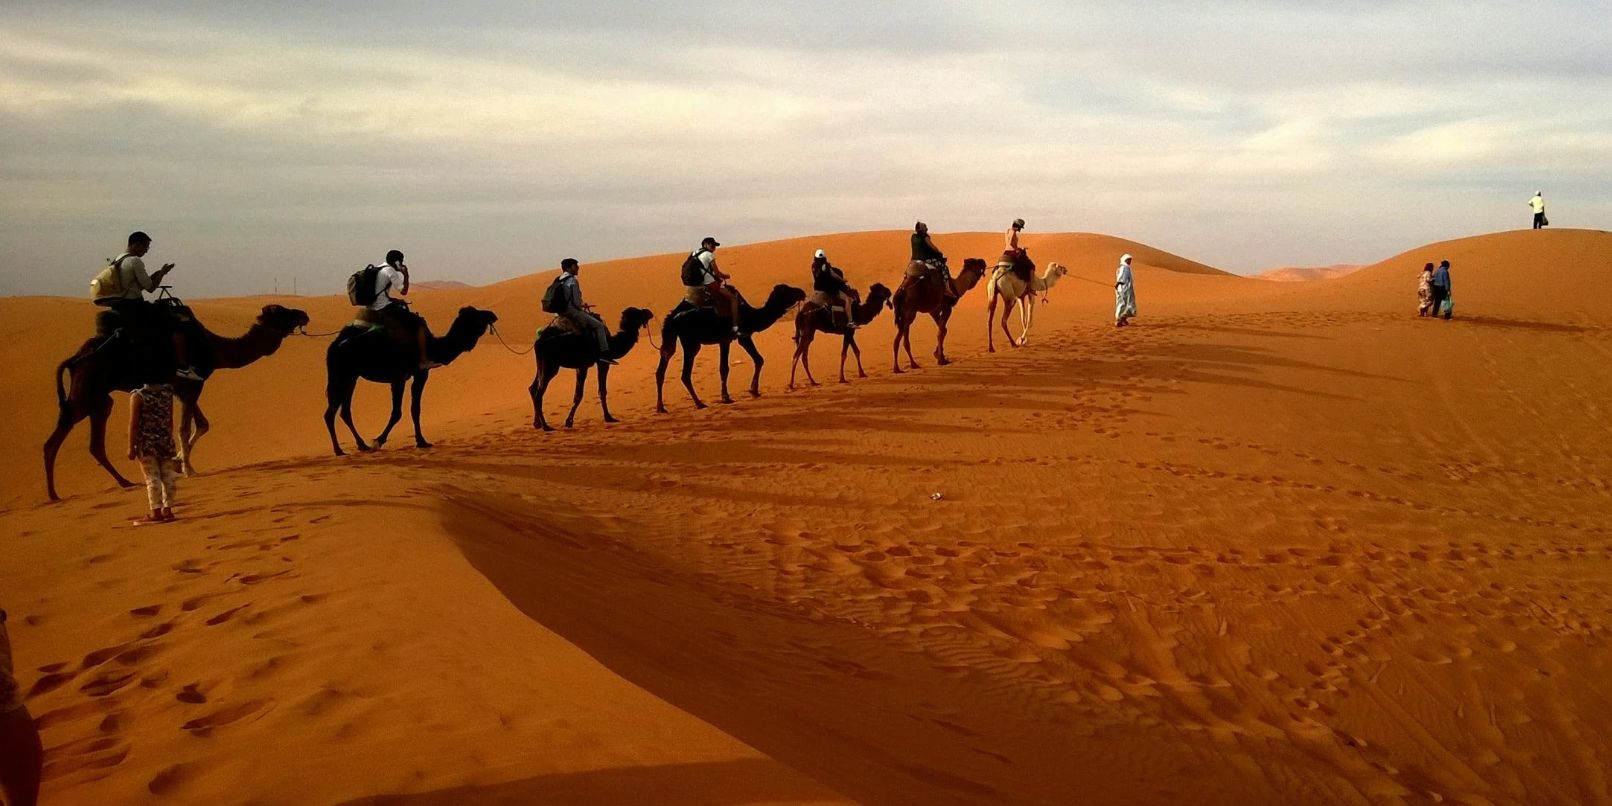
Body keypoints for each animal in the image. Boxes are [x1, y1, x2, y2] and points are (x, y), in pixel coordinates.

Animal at [43, 303, 311, 499]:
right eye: (282, 311)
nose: (304, 314)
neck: (214, 348)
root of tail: (75, 358)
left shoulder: (186, 388)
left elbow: (201, 424)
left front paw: (177, 463)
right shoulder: (192, 385)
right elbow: (183, 427)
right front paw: (188, 469)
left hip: (98, 398)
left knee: (95, 441)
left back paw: (123, 482)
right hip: (87, 389)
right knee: (55, 438)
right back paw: (53, 494)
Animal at [325, 304, 496, 457]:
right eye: (477, 316)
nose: (492, 314)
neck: (432, 347)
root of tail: (334, 345)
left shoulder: (413, 375)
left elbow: (412, 409)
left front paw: (419, 441)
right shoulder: (405, 376)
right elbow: (400, 412)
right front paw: (380, 441)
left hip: (351, 376)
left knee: (344, 411)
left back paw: (361, 445)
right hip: (342, 374)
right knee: (330, 413)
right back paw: (339, 450)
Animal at [651, 283, 806, 412]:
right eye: (787, 290)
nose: (802, 292)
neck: (751, 315)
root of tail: (672, 317)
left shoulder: (725, 340)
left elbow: (724, 368)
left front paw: (728, 396)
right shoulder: (743, 336)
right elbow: (758, 359)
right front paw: (752, 391)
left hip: (671, 339)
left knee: (662, 367)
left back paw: (661, 407)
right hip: (691, 342)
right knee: (685, 374)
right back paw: (699, 403)